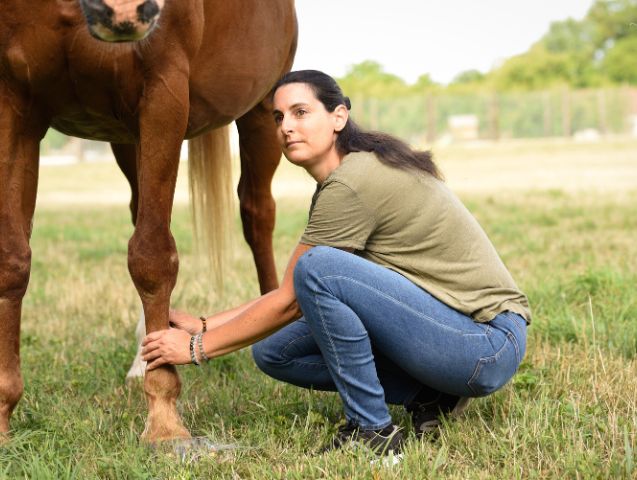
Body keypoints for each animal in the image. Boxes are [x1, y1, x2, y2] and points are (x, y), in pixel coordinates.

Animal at [0, 0, 298, 442]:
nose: (123, 11)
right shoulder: (15, 104)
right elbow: (12, 260)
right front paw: (3, 413)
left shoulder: (163, 92)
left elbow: (152, 257)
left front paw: (164, 421)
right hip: (128, 139)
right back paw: (142, 358)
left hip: (263, 113)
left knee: (258, 214)